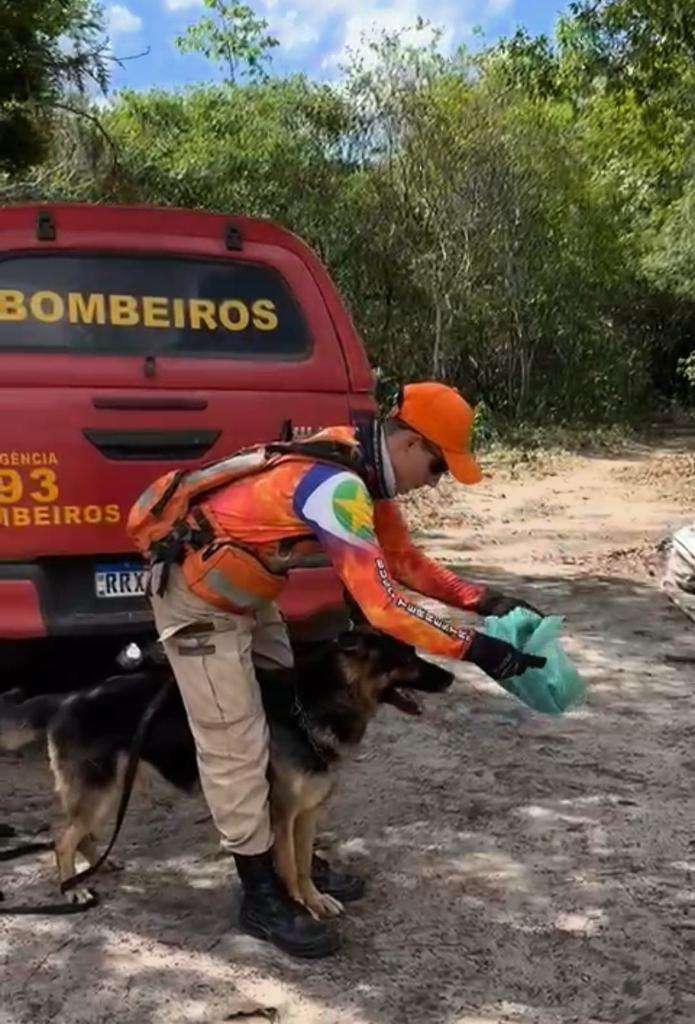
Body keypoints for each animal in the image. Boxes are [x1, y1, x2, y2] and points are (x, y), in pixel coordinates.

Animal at [0, 630, 454, 921]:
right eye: (407, 657)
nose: (451, 676)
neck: (309, 704)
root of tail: (66, 698)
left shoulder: (307, 814)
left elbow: (304, 866)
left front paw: (316, 898)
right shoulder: (282, 815)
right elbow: (287, 865)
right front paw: (298, 908)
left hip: (109, 791)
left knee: (80, 834)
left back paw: (96, 866)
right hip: (101, 791)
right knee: (63, 838)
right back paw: (73, 887)